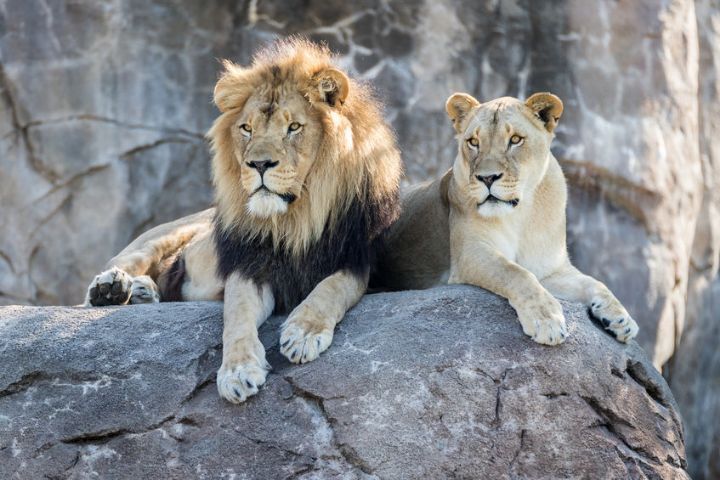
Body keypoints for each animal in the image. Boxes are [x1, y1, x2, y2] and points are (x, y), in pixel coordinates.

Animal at [84, 40, 402, 402]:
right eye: (246, 128)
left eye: (293, 127)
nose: (259, 164)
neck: (295, 219)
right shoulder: (249, 265)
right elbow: (236, 315)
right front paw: (237, 372)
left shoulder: (358, 260)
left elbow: (332, 288)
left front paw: (303, 333)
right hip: (164, 234)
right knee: (125, 262)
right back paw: (112, 288)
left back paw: (142, 292)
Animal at [374, 91, 640, 344]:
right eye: (473, 142)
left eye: (515, 140)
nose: (487, 178)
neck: (521, 214)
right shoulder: (470, 253)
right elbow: (516, 273)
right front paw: (547, 320)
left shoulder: (550, 269)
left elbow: (594, 283)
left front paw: (621, 318)